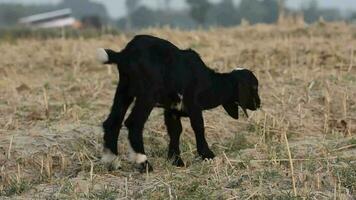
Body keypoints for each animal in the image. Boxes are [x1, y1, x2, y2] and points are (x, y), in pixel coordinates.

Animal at [97, 34, 262, 172]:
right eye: (254, 87)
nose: (259, 104)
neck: (209, 82)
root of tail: (124, 55)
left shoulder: (172, 110)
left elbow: (175, 131)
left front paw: (176, 160)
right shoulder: (193, 104)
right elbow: (198, 126)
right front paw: (208, 155)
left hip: (124, 90)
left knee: (112, 121)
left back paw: (111, 161)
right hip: (147, 93)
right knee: (134, 123)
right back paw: (143, 162)